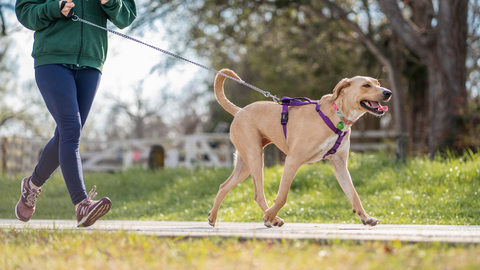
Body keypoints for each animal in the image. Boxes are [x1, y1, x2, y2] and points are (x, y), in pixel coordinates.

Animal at [208, 68, 392, 227]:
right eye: (366, 85)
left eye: (377, 82)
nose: (388, 93)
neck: (338, 116)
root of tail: (239, 111)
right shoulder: (292, 160)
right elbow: (282, 196)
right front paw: (269, 216)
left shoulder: (340, 166)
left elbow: (354, 195)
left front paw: (366, 217)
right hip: (255, 157)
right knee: (258, 194)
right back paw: (272, 217)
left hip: (244, 165)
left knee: (224, 186)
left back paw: (213, 217)